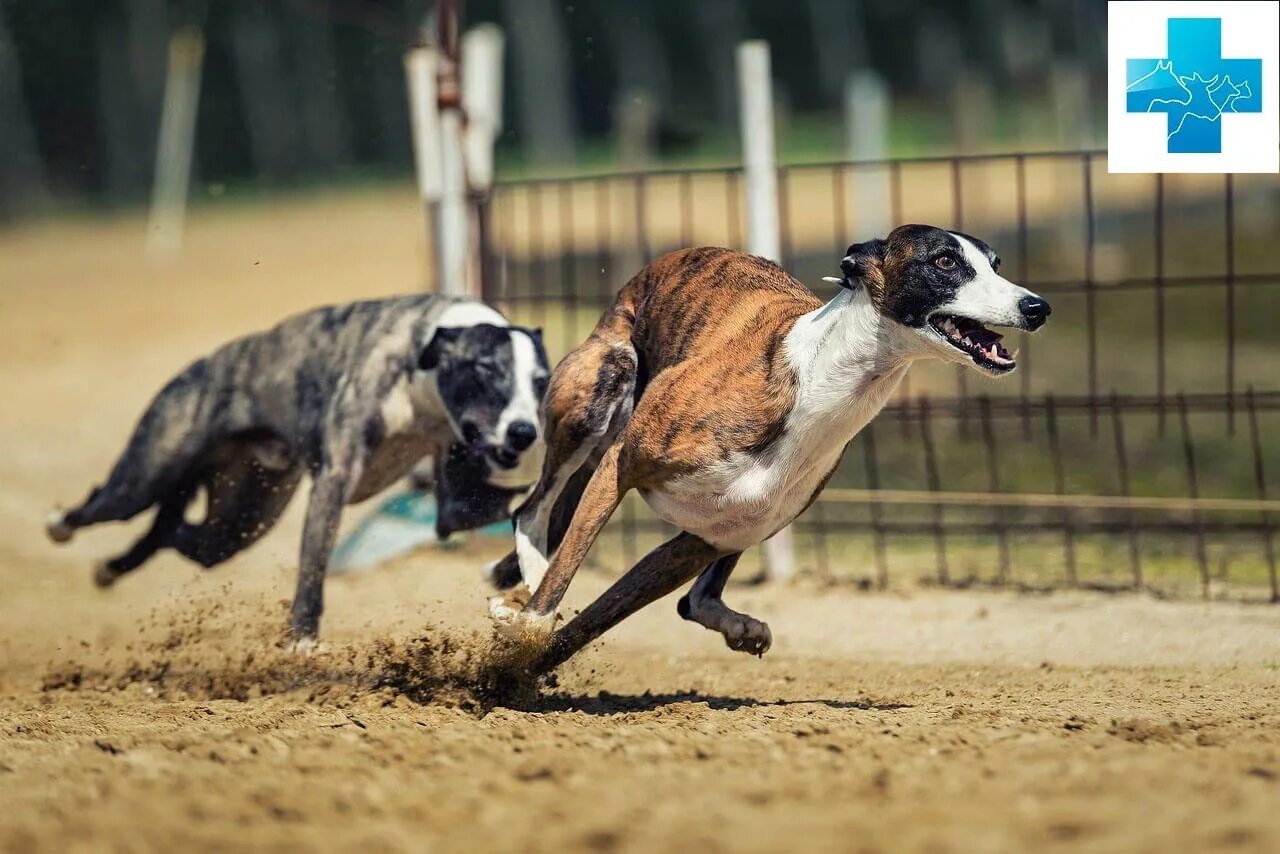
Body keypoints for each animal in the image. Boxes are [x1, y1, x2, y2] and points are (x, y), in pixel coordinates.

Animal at [47, 297, 547, 645]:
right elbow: (312, 567)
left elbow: (505, 507)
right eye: (486, 369)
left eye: (540, 381)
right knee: (107, 505)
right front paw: (303, 641)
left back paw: (111, 568)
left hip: (240, 520)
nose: (525, 432)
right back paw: (60, 525)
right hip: (145, 476)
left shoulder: (455, 504)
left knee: (175, 531)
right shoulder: (334, 480)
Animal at [488, 224, 1049, 670]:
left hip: (737, 521)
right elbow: (563, 575)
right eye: (945, 261)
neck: (816, 382)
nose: (1037, 307)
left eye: (995, 264)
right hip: (601, 390)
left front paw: (512, 680)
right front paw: (523, 635)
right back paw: (525, 583)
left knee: (694, 601)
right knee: (531, 510)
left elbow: (590, 625)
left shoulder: (701, 541)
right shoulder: (619, 466)